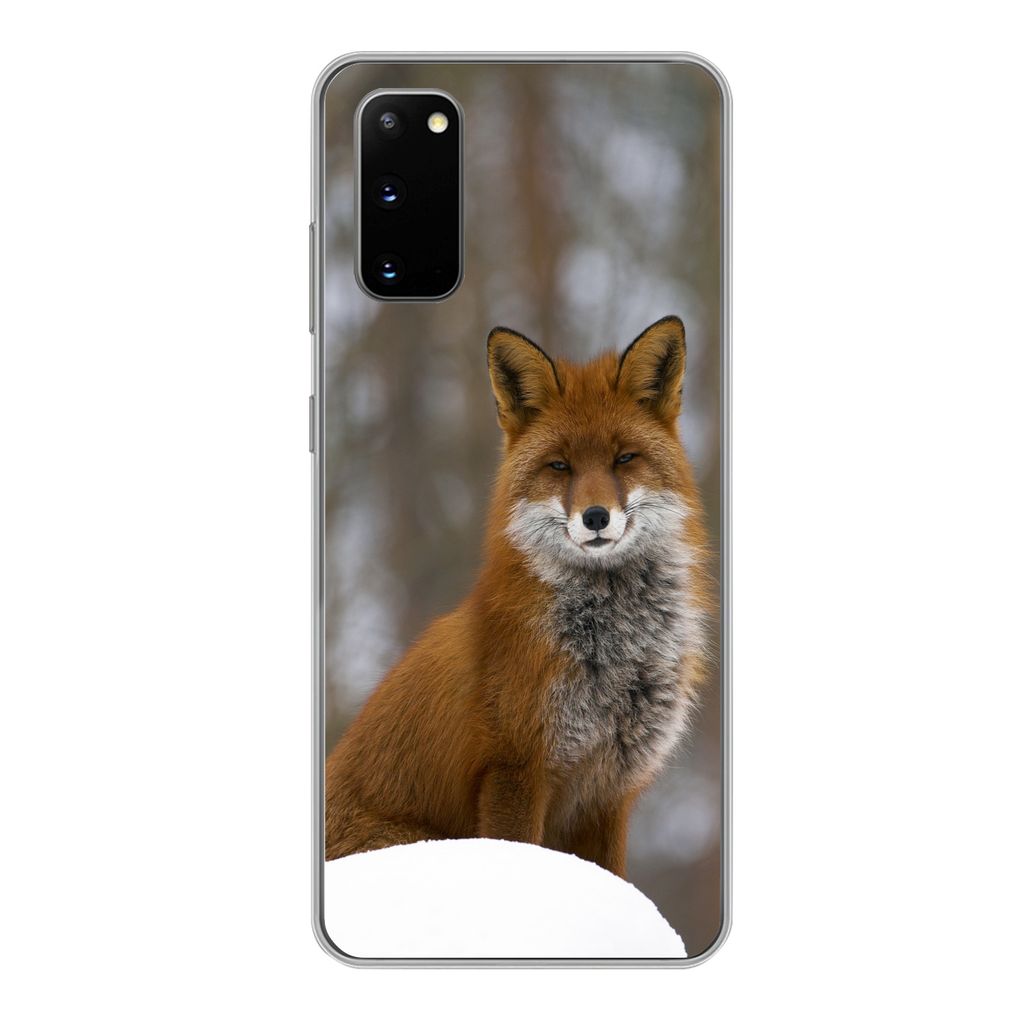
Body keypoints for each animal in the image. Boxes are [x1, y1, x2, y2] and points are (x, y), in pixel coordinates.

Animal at [324, 315, 714, 878]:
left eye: (624, 458)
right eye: (560, 466)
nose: (596, 517)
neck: (613, 654)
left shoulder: (608, 792)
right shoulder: (515, 769)